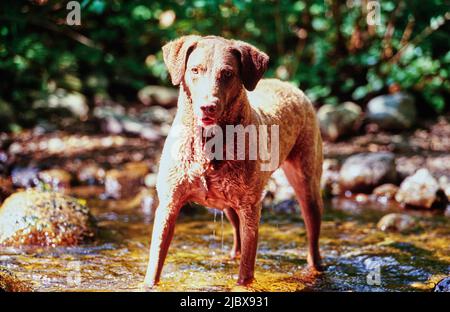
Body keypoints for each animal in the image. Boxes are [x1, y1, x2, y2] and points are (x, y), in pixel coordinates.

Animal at [144, 35, 324, 286]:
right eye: (195, 70)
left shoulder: (251, 209)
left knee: (312, 235)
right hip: (229, 204)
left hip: (307, 182)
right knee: (237, 237)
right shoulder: (169, 204)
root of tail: (291, 86)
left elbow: (246, 271)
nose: (207, 107)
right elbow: (154, 264)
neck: (207, 146)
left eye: (227, 73)